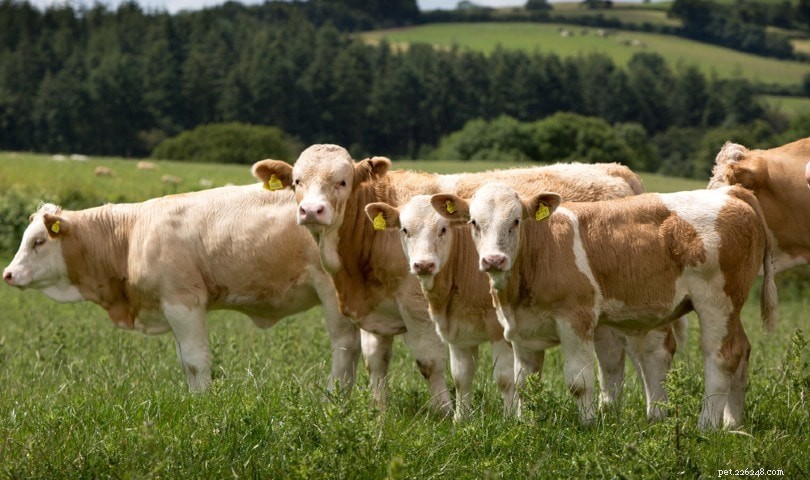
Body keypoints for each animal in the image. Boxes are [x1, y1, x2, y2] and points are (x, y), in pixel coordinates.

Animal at [2, 185, 370, 394]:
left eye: (38, 241)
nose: (8, 273)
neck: (131, 234)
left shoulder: (183, 301)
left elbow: (196, 361)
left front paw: (203, 406)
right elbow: (184, 362)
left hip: (332, 293)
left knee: (345, 348)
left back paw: (332, 401)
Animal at [251, 144, 677, 416]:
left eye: (341, 181)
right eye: (297, 182)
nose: (312, 211)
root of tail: (613, 168)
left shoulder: (419, 308)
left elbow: (428, 362)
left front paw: (443, 412)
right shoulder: (377, 314)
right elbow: (376, 363)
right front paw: (378, 412)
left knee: (643, 354)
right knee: (612, 360)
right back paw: (611, 410)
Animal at [431, 183, 776, 429]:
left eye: (516, 221)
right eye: (474, 223)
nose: (494, 260)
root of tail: (730, 192)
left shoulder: (576, 318)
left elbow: (579, 381)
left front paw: (587, 424)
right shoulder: (521, 331)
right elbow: (523, 383)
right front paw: (524, 424)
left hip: (716, 301)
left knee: (721, 356)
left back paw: (707, 425)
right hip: (732, 306)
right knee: (741, 350)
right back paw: (733, 423)